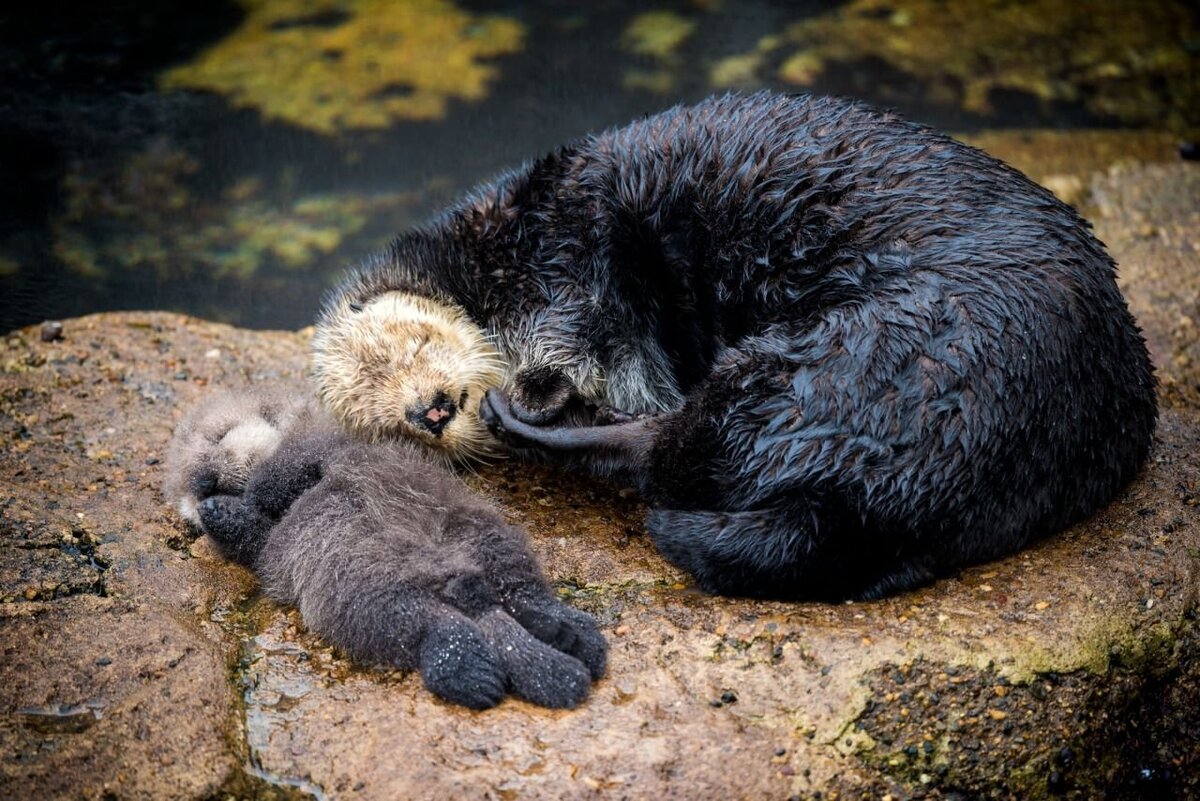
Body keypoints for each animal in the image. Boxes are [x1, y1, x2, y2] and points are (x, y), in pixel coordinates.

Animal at [164, 388, 604, 705]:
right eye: (186, 486)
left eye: (218, 436)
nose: (202, 483)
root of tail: (461, 583)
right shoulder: (265, 540)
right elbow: (257, 536)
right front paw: (216, 511)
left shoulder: (312, 445)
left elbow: (282, 474)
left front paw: (233, 501)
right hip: (471, 550)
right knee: (506, 599)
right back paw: (568, 639)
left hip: (371, 590)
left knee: (445, 624)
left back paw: (481, 673)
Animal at [314, 92, 1156, 599]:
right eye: (385, 421)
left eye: (411, 343)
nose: (430, 409)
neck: (487, 261)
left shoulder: (564, 251)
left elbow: (593, 328)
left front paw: (541, 382)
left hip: (864, 351)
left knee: (668, 455)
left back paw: (535, 414)